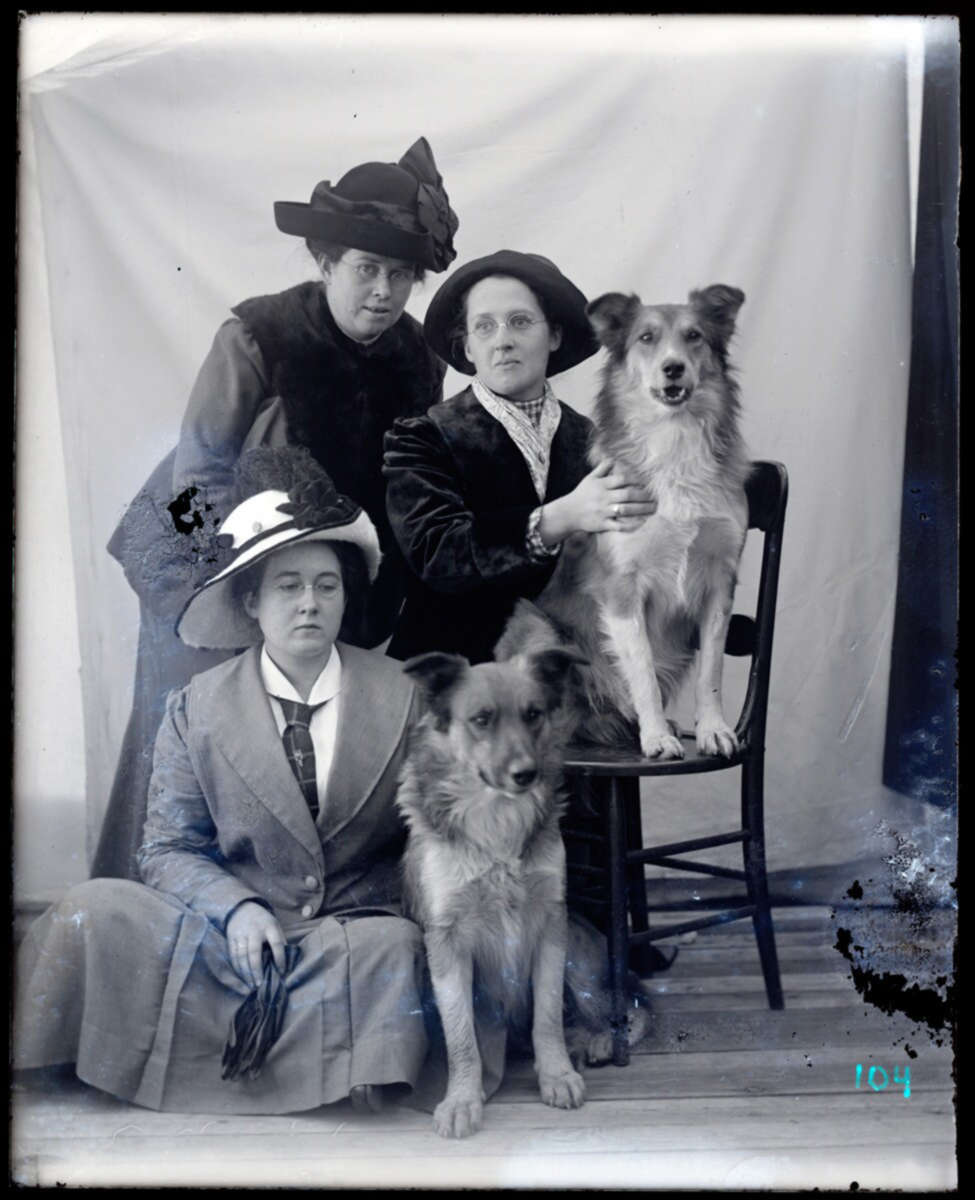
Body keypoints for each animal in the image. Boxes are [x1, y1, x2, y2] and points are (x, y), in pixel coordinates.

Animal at [391, 652, 653, 1137]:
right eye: (481, 719)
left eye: (533, 714)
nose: (525, 774)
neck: (496, 817)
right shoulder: (446, 942)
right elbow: (461, 1035)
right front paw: (462, 1098)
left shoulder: (550, 924)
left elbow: (546, 1018)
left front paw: (557, 1074)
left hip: (581, 962)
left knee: (632, 1007)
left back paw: (599, 1040)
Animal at [499, 280, 749, 758]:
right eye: (646, 338)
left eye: (694, 336)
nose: (673, 368)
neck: (673, 439)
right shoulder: (622, 587)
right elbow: (643, 674)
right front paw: (656, 737)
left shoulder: (719, 583)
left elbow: (711, 671)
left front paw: (713, 730)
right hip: (535, 626)